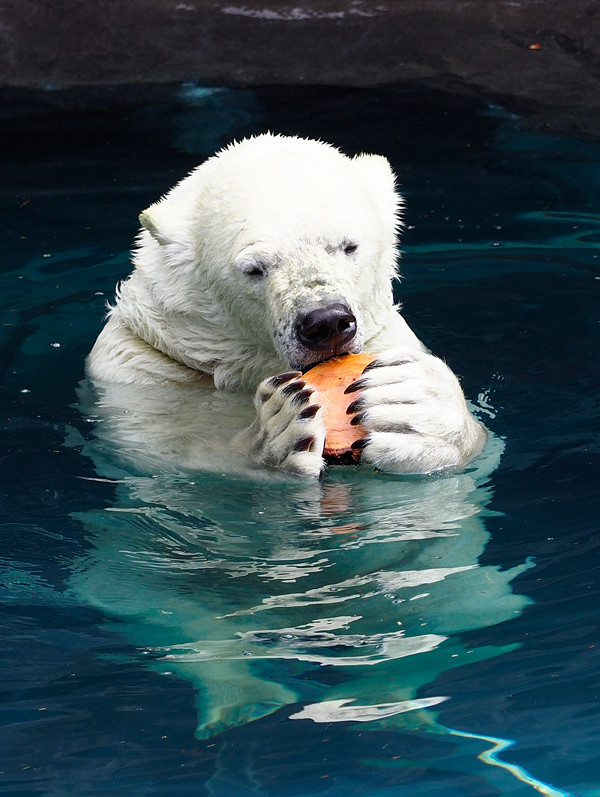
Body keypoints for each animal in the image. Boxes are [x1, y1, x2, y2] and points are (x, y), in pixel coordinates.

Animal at [85, 134, 488, 476]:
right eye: (254, 268)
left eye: (349, 246)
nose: (327, 323)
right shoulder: (138, 367)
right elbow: (167, 453)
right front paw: (276, 431)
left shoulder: (389, 341)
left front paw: (417, 405)